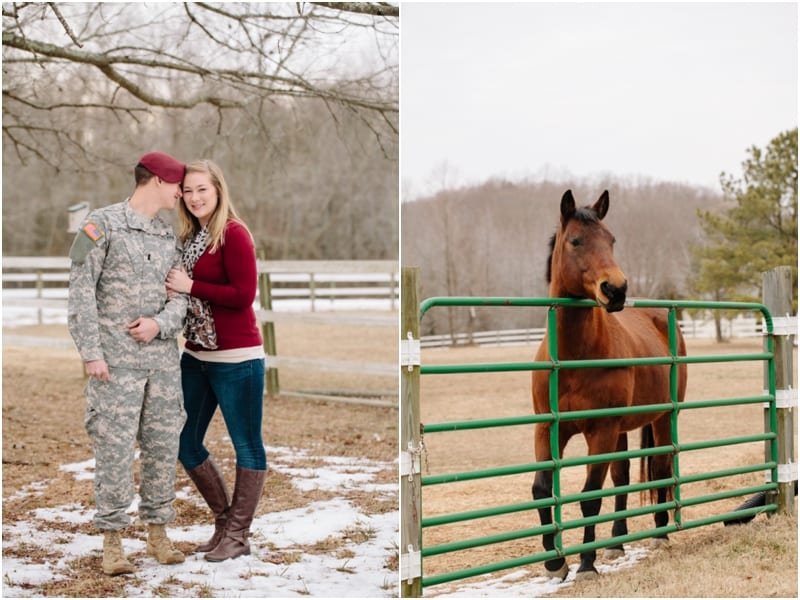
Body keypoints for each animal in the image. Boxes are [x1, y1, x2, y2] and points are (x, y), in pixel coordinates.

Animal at [532, 190, 688, 580]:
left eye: (611, 240)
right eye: (575, 241)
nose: (616, 289)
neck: (574, 357)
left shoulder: (599, 432)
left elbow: (590, 496)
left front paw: (586, 563)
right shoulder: (547, 429)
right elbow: (542, 488)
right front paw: (554, 561)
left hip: (661, 419)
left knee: (660, 468)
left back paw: (660, 533)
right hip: (620, 430)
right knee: (623, 475)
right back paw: (617, 542)